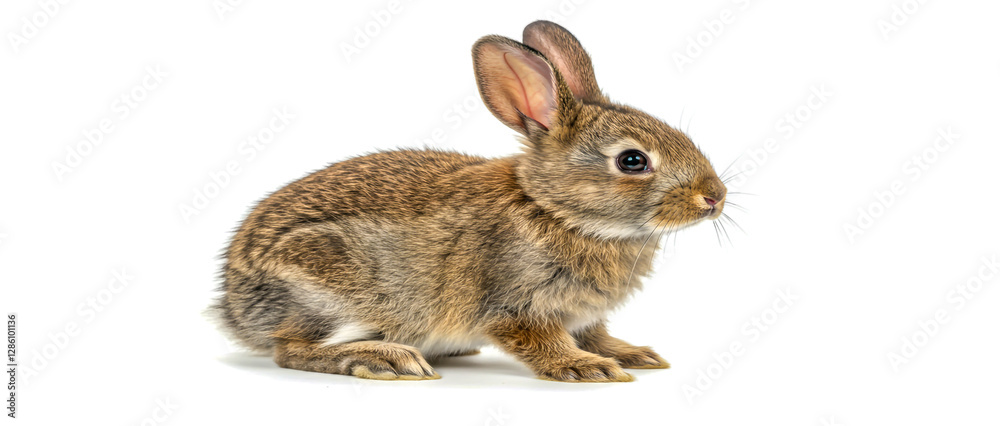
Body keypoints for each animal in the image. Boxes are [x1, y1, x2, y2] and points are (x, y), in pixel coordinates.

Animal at [212, 20, 727, 382]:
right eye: (632, 161)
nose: (714, 198)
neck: (554, 210)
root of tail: (233, 305)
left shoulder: (584, 316)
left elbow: (595, 334)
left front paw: (633, 355)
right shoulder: (515, 304)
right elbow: (541, 341)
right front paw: (586, 368)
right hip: (335, 291)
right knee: (291, 350)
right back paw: (386, 359)